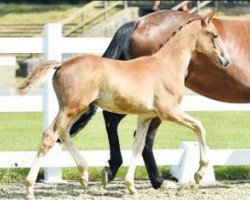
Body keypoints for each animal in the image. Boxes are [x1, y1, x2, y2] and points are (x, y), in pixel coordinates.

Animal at [17, 11, 229, 199]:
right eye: (214, 35)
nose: (226, 60)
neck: (166, 65)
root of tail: (61, 64)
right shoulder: (169, 111)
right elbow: (199, 127)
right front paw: (199, 174)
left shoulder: (145, 116)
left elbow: (138, 145)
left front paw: (131, 186)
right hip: (71, 108)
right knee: (50, 135)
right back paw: (29, 189)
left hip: (76, 109)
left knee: (63, 133)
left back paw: (84, 176)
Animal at [69, 9, 250, 188]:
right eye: (214, 35)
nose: (226, 61)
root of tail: (138, 22)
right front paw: (199, 173)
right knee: (139, 135)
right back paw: (156, 181)